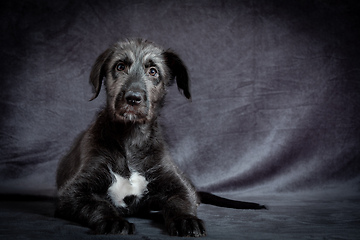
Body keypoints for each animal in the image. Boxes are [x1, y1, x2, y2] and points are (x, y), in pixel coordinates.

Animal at [56, 38, 264, 237]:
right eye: (120, 66)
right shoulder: (73, 192)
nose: (133, 98)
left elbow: (180, 203)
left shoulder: (179, 186)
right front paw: (113, 221)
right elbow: (98, 204)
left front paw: (186, 220)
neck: (131, 138)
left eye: (153, 71)